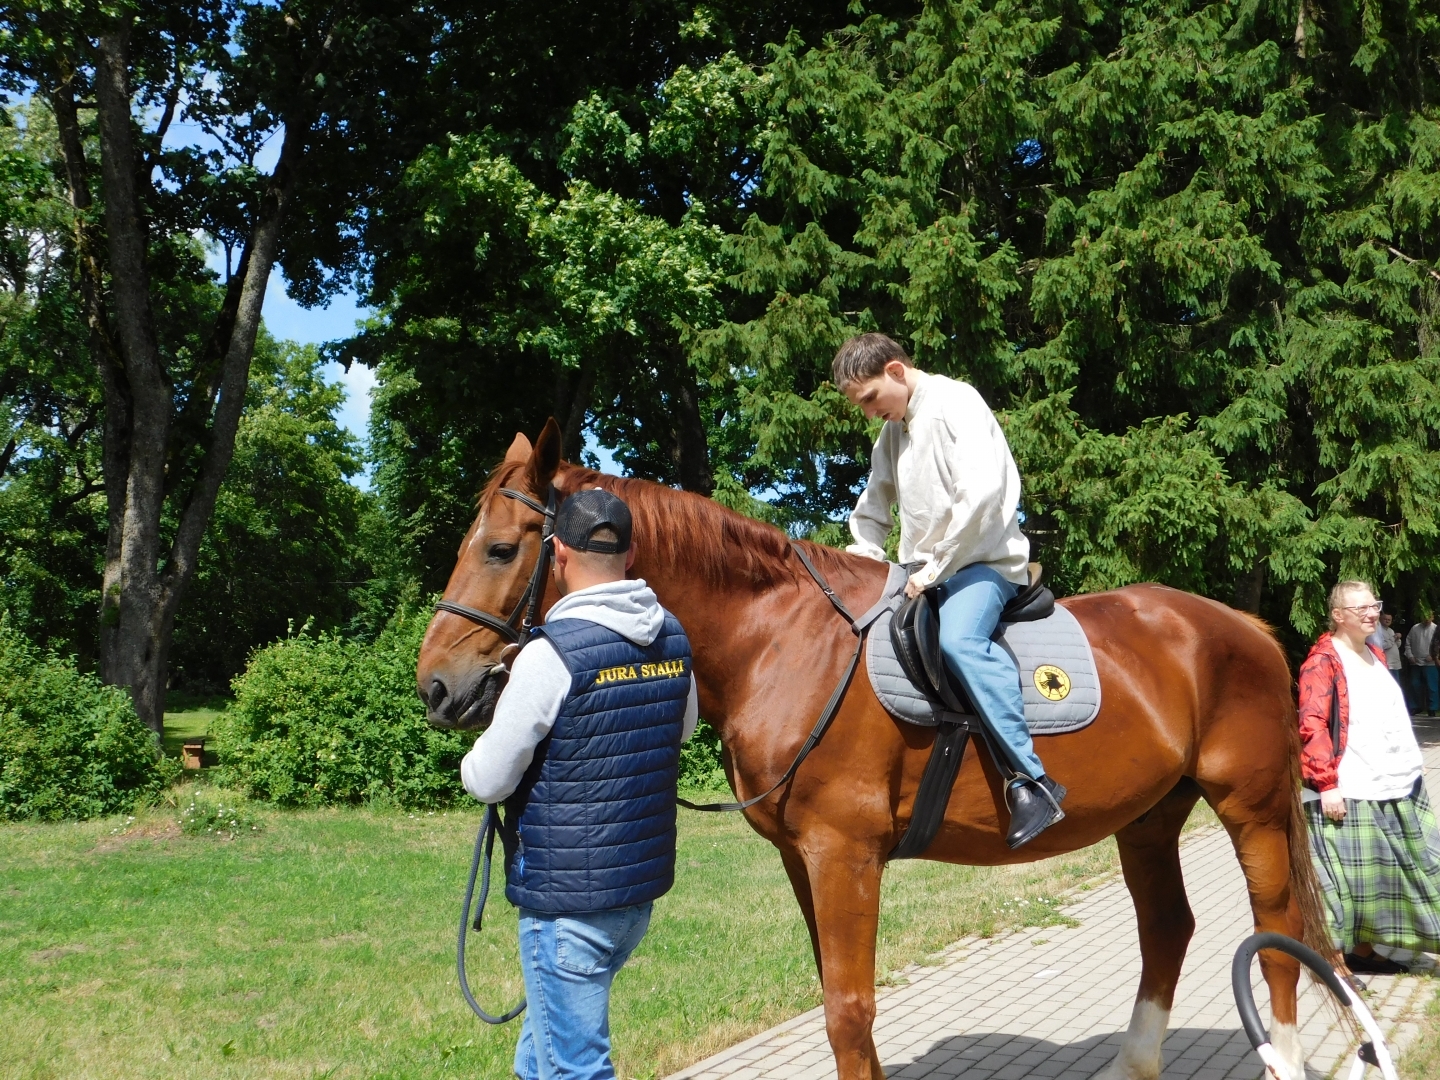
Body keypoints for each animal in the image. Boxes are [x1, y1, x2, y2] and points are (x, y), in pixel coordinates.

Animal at [417, 420, 1324, 1080]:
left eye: (500, 549)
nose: (436, 687)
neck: (785, 643)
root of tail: (1243, 627)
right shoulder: (801, 859)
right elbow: (833, 998)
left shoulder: (843, 854)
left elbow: (849, 1011)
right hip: (1149, 817)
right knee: (1169, 927)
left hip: (1249, 808)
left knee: (1276, 933)